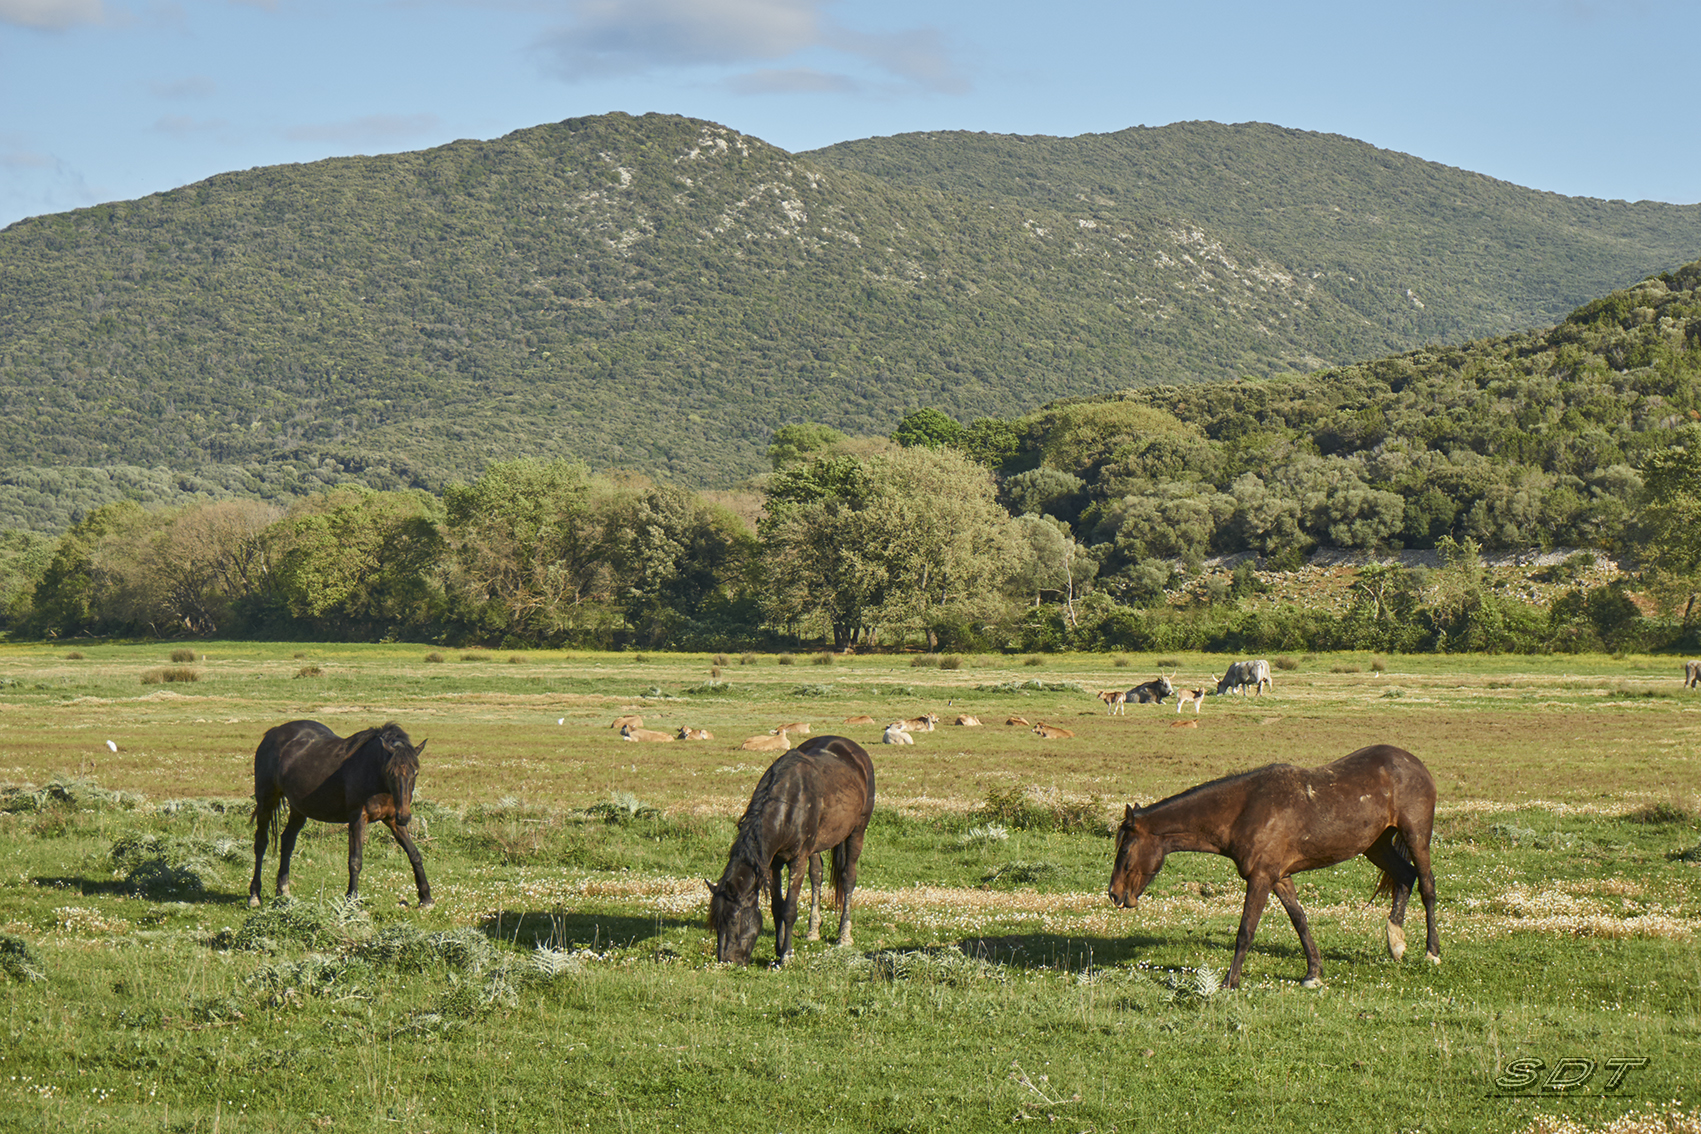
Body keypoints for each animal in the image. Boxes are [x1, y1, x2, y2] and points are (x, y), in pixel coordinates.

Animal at [249, 720, 433, 910]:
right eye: (390, 772)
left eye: (415, 772)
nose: (404, 817)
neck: (374, 774)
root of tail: (273, 732)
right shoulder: (358, 819)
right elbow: (355, 860)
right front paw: (351, 900)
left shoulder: (392, 820)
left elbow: (414, 854)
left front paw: (426, 898)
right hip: (266, 801)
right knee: (261, 843)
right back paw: (255, 895)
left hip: (298, 809)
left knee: (287, 841)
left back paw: (283, 892)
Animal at [706, 735, 875, 966]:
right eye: (716, 922)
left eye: (733, 920)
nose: (726, 961)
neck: (788, 806)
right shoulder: (772, 863)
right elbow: (777, 907)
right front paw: (778, 950)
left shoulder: (797, 859)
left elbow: (789, 909)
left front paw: (787, 955)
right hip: (816, 846)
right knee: (816, 875)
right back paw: (813, 931)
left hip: (857, 831)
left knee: (848, 877)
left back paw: (844, 935)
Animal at [1107, 744, 1439, 989]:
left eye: (1125, 849)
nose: (1114, 893)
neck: (1244, 810)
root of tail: (1414, 763)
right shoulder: (1280, 877)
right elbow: (1300, 921)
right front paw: (1313, 973)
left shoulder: (1260, 878)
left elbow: (1246, 930)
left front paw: (1230, 982)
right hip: (1376, 845)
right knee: (1405, 876)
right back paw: (1396, 943)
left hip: (1416, 836)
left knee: (1427, 886)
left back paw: (1431, 952)